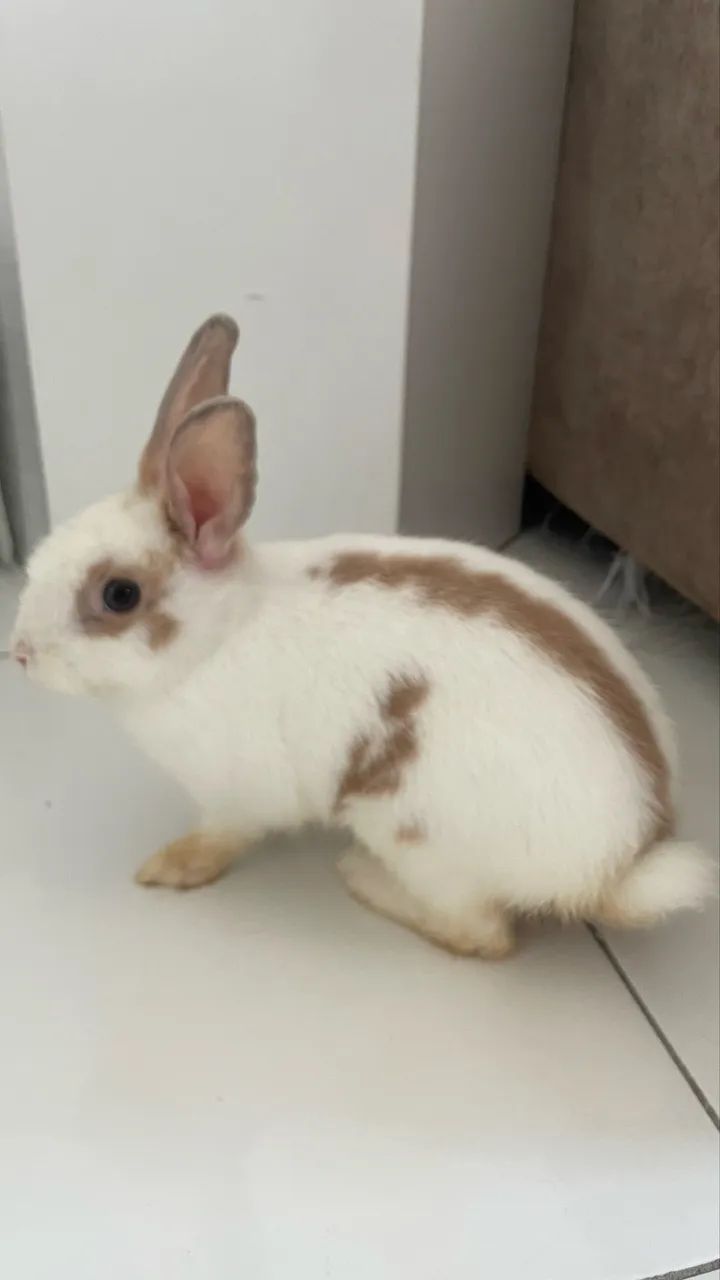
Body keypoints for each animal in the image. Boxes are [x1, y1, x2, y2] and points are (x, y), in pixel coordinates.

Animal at [11, 315, 713, 957]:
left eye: (119, 595)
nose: (18, 652)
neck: (215, 638)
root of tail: (623, 862)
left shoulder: (238, 795)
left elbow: (221, 837)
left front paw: (169, 866)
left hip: (412, 833)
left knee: (484, 936)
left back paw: (363, 879)